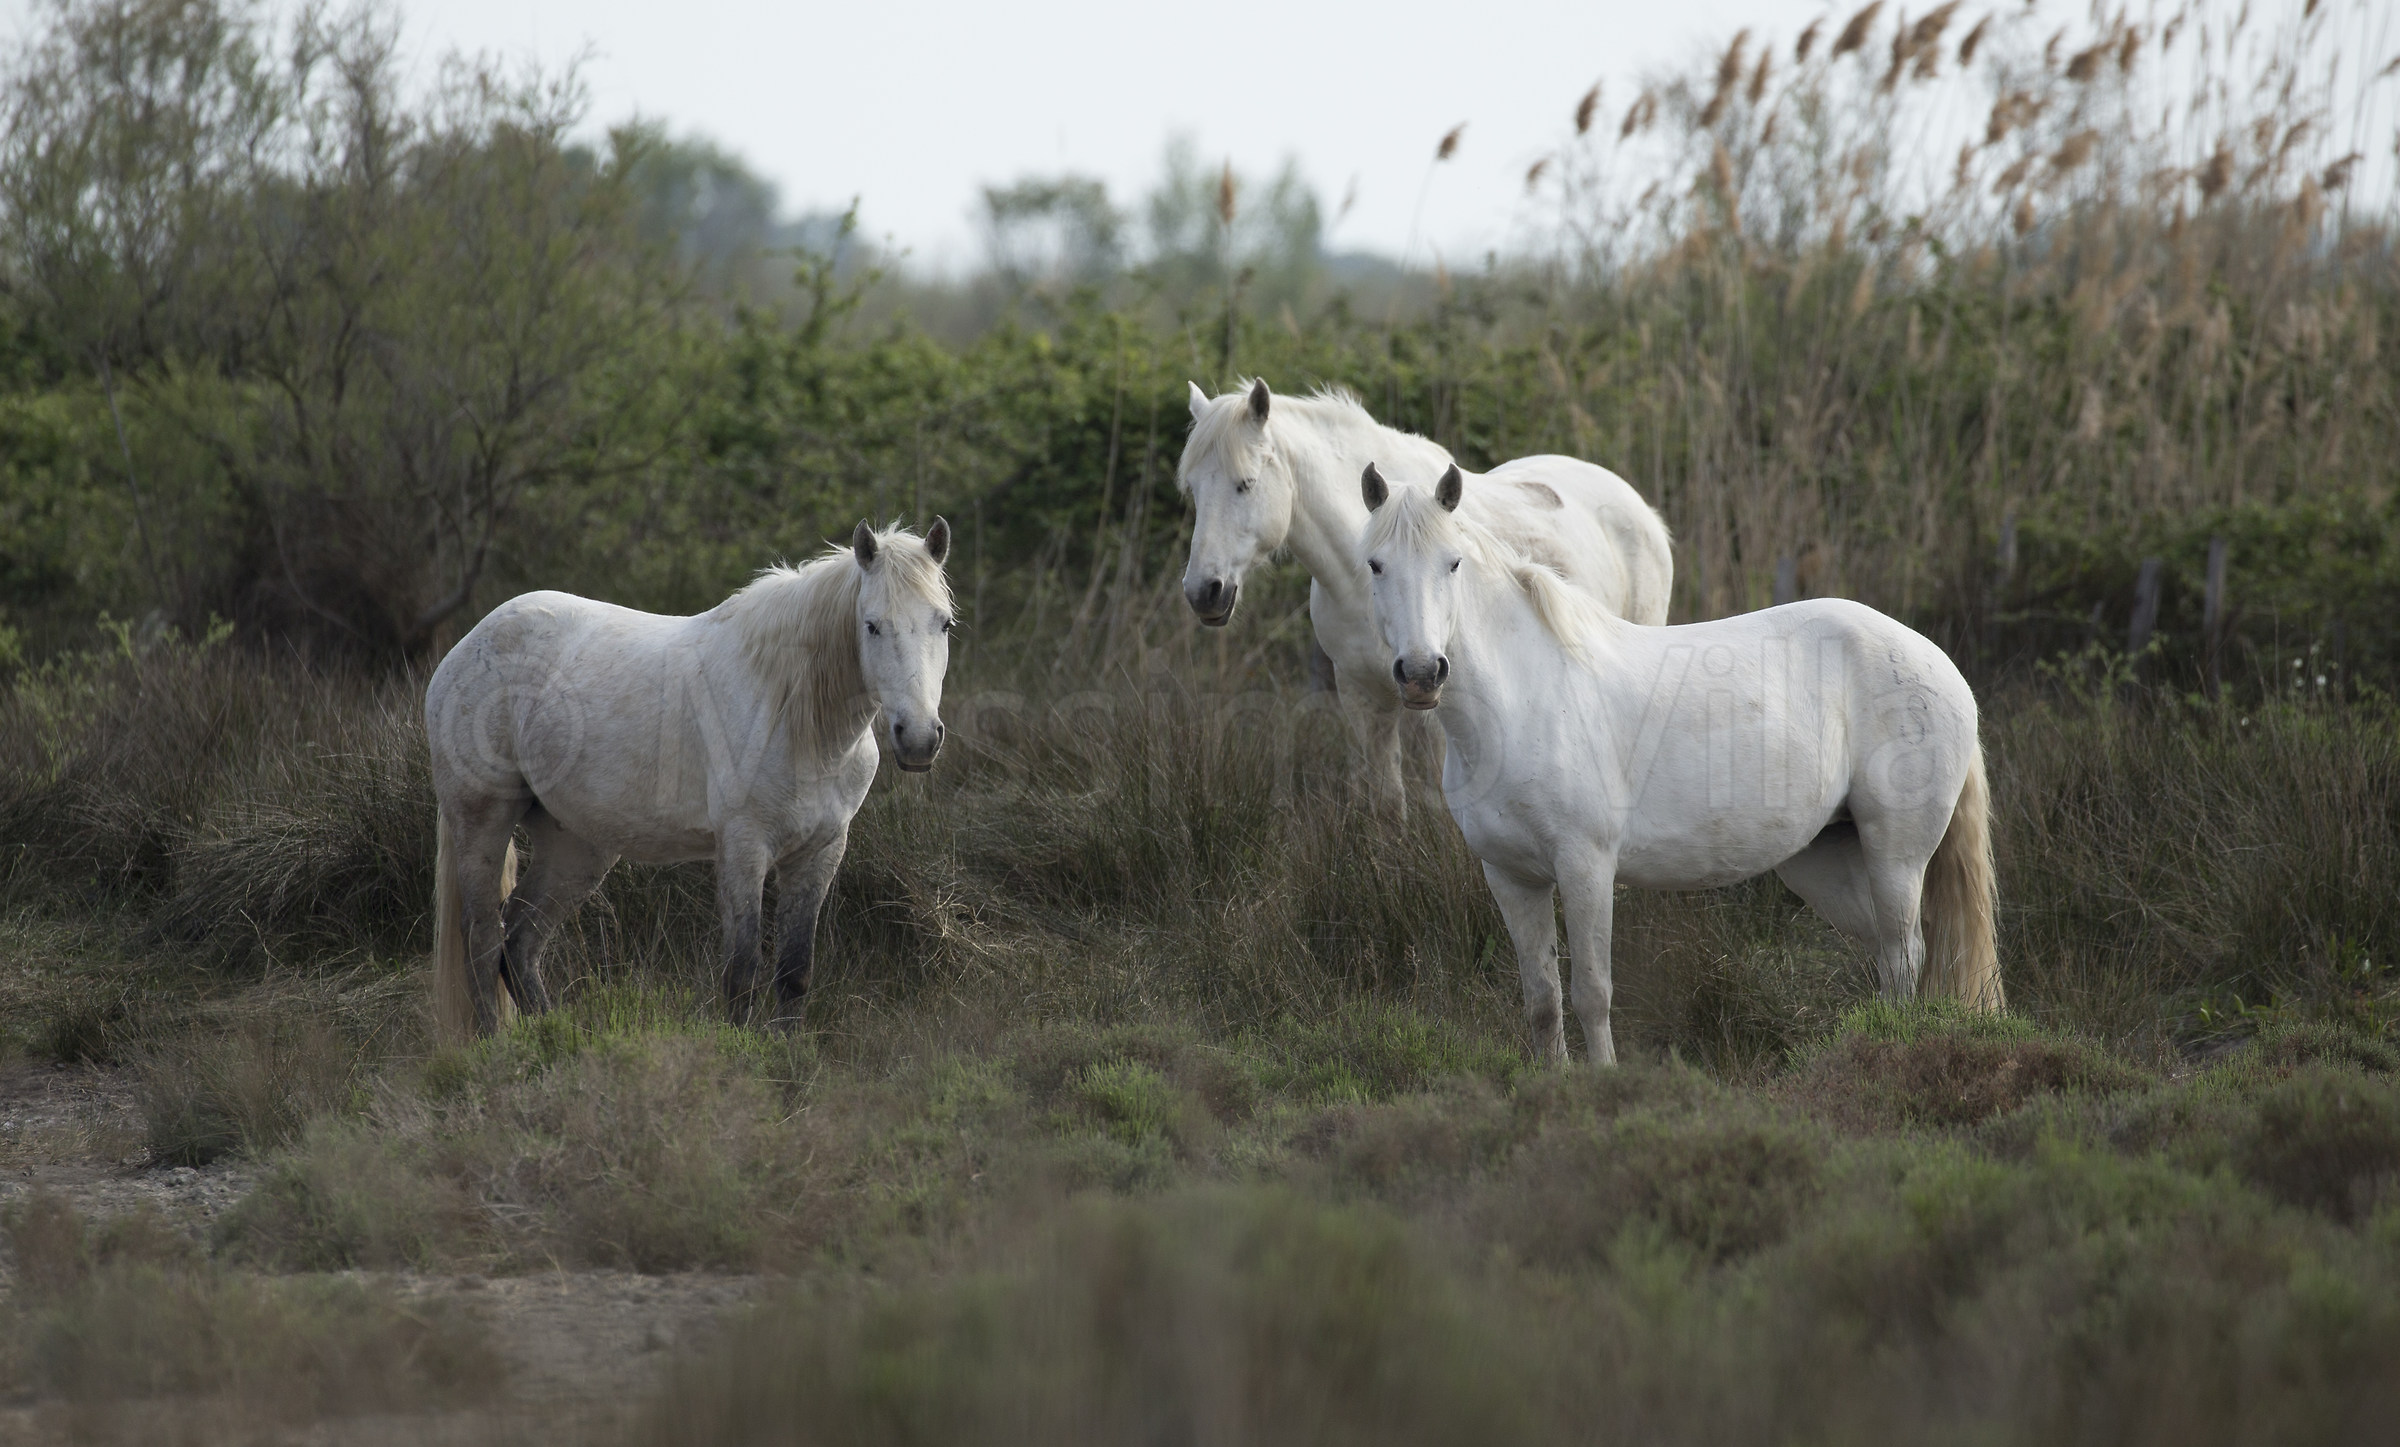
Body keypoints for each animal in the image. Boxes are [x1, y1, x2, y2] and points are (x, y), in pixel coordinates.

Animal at [425, 520, 955, 1039]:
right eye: (872, 625)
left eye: (944, 623)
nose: (919, 738)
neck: (792, 714)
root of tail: (469, 644)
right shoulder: (744, 846)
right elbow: (742, 973)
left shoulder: (820, 852)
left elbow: (794, 973)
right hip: (482, 821)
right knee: (482, 938)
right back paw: (495, 1047)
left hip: (576, 846)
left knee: (519, 940)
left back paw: (550, 1034)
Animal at [1177, 380, 1672, 814]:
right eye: (1194, 490)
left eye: (1246, 483)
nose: (1204, 593)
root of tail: (1638, 508)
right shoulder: (1362, 696)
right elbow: (1388, 802)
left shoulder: (1436, 700)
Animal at [1359, 463, 2000, 1065]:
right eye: (1374, 566)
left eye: (1453, 563)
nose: (1422, 674)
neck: (1526, 699)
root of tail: (1936, 660)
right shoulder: (1512, 877)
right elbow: (1542, 1002)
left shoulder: (1586, 868)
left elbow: (1591, 993)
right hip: (1825, 858)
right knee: (1888, 953)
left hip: (1896, 855)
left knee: (1904, 954)